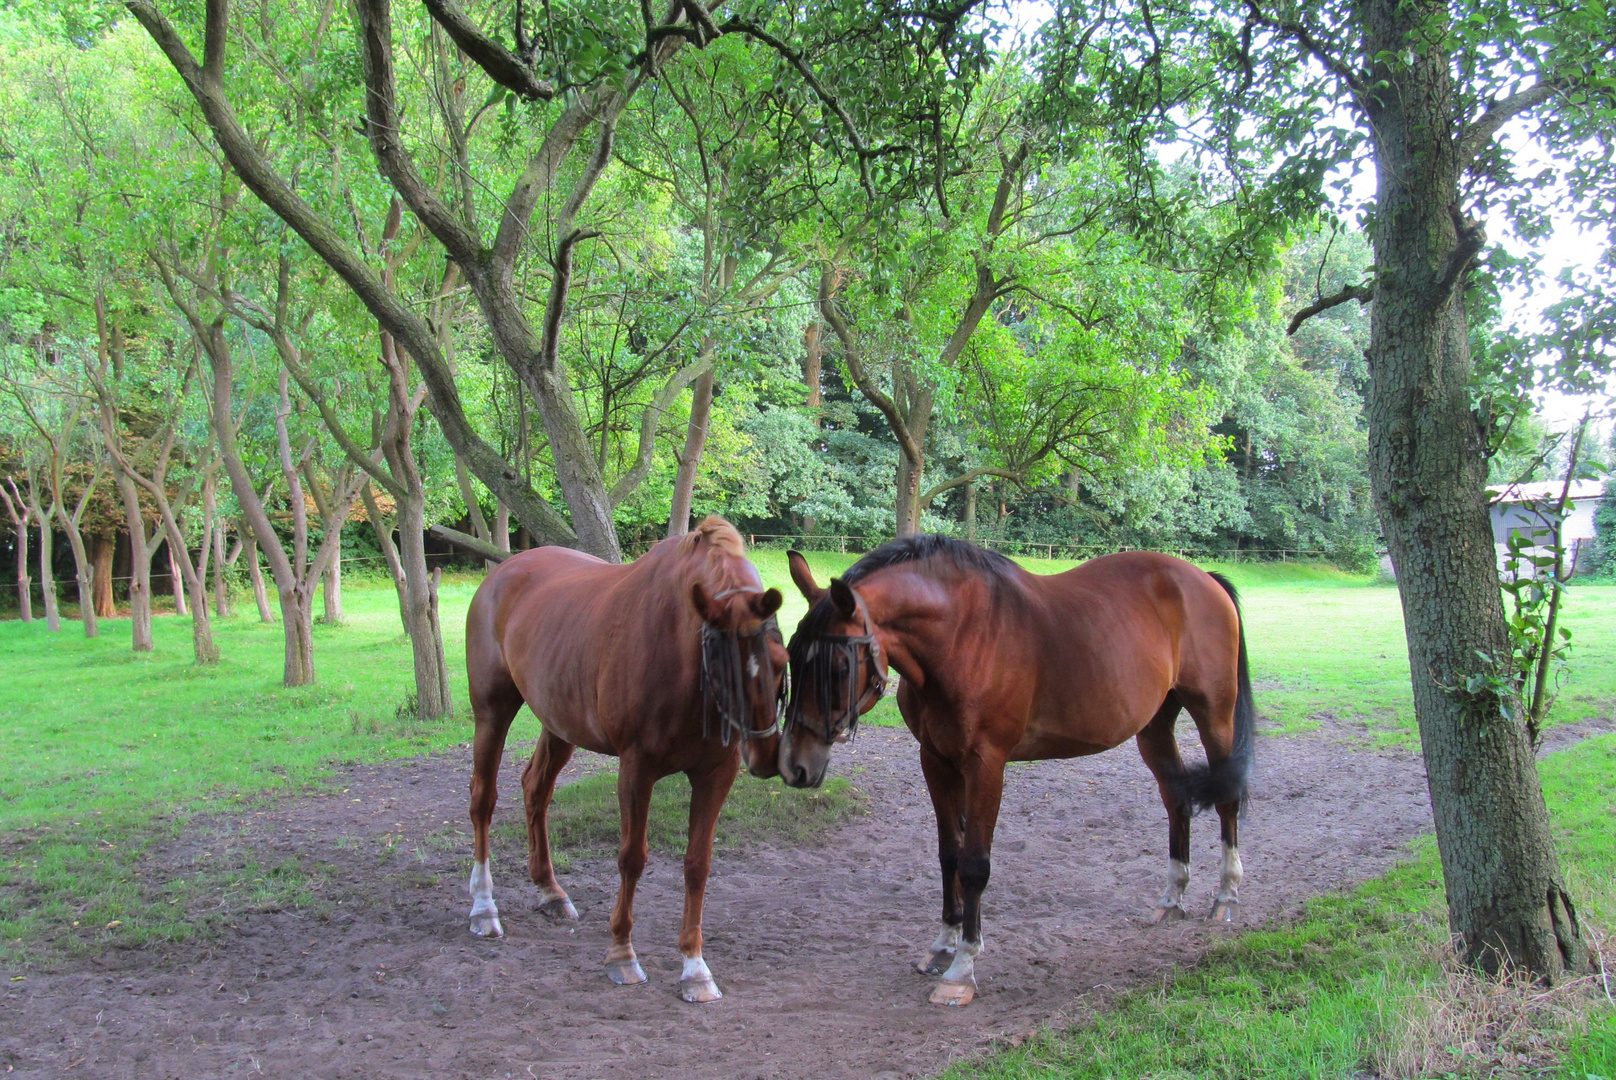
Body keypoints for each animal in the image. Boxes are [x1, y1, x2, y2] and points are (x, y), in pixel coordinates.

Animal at [462, 517, 788, 1002]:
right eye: (722, 667)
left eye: (780, 661)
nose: (765, 754)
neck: (679, 650)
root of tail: (501, 574)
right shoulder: (637, 769)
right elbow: (632, 858)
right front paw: (622, 953)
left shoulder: (715, 773)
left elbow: (698, 863)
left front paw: (694, 967)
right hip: (492, 712)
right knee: (483, 799)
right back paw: (484, 908)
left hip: (559, 723)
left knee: (535, 788)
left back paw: (550, 890)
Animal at [775, 536, 1254, 1008]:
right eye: (792, 657)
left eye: (839, 668)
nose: (795, 765)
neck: (964, 637)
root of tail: (1202, 578)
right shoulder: (936, 761)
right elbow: (949, 854)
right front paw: (943, 946)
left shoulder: (986, 765)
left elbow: (974, 864)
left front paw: (962, 970)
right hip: (1154, 727)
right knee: (1177, 800)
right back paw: (1172, 898)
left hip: (1214, 716)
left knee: (1227, 798)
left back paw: (1227, 895)